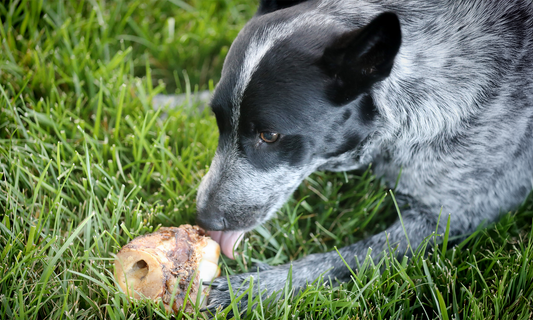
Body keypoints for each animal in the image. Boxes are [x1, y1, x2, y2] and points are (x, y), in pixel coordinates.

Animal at [194, 0, 532, 312]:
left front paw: (252, 290)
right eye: (218, 122)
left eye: (269, 136)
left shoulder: (452, 216)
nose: (202, 218)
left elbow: (346, 257)